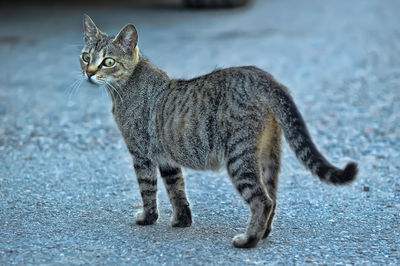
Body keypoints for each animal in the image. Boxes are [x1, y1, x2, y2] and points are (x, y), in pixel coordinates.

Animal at [79, 14, 358, 247]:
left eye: (108, 62)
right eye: (85, 57)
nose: (89, 73)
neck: (128, 85)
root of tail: (264, 78)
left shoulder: (141, 154)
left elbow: (148, 190)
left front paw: (147, 218)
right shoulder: (167, 158)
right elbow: (177, 190)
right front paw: (182, 220)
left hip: (239, 156)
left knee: (262, 200)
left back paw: (248, 240)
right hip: (270, 155)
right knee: (273, 196)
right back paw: (264, 232)